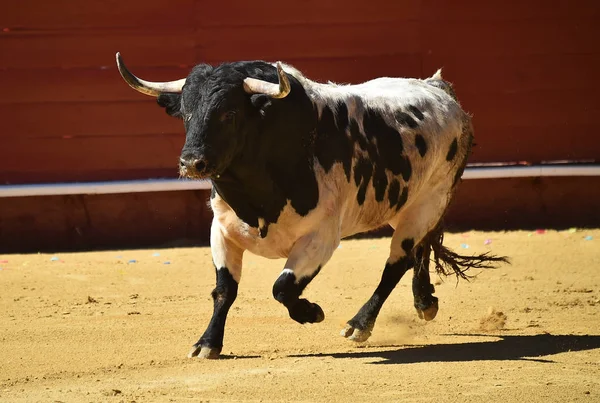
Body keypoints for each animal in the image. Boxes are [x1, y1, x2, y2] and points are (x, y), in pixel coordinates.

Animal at [113, 52, 506, 358]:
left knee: (397, 262)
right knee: (420, 250)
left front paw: (311, 312)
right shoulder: (221, 231)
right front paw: (207, 343)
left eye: (229, 114)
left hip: (430, 200)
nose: (192, 162)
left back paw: (359, 324)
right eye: (186, 113)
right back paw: (425, 303)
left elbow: (282, 287)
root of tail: (438, 88)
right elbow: (224, 290)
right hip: (410, 207)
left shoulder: (320, 238)